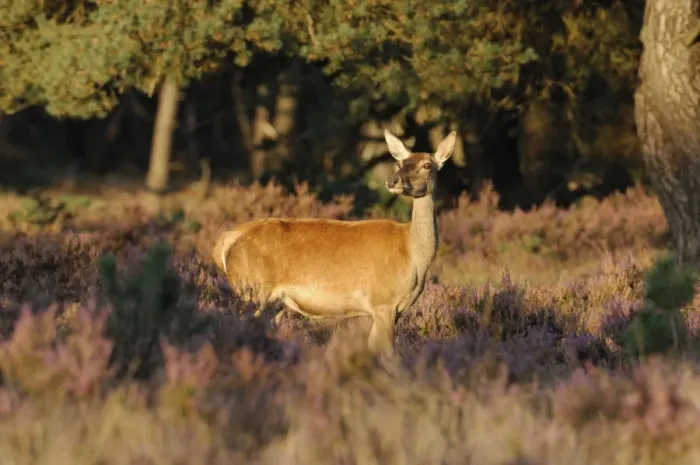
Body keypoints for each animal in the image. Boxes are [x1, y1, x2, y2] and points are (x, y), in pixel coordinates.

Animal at [212, 129, 457, 355]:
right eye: (400, 162)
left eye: (427, 165)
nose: (392, 180)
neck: (413, 255)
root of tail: (226, 240)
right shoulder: (383, 301)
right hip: (251, 290)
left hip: (273, 303)